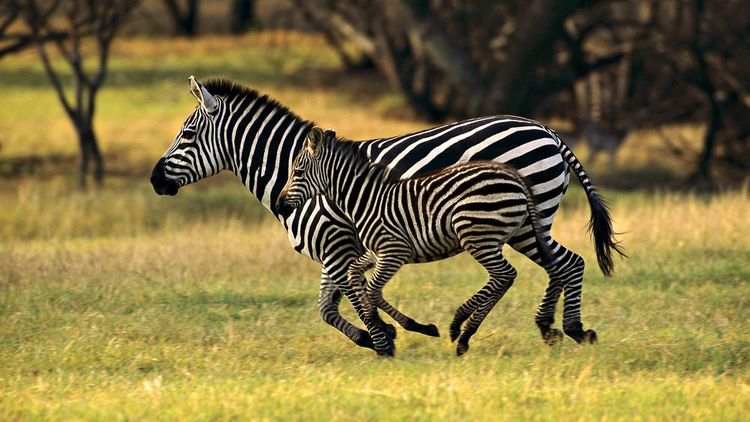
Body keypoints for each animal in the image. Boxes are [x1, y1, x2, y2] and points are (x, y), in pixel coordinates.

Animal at [277, 127, 557, 356]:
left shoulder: (394, 251)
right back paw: (465, 334)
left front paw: (388, 330)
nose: (280, 205)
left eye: (297, 171)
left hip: (476, 235)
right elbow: (356, 275)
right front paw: (382, 327)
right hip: (493, 237)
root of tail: (515, 178)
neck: (366, 201)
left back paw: (460, 327)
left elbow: (372, 290)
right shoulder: (376, 252)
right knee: (508, 276)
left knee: (505, 275)